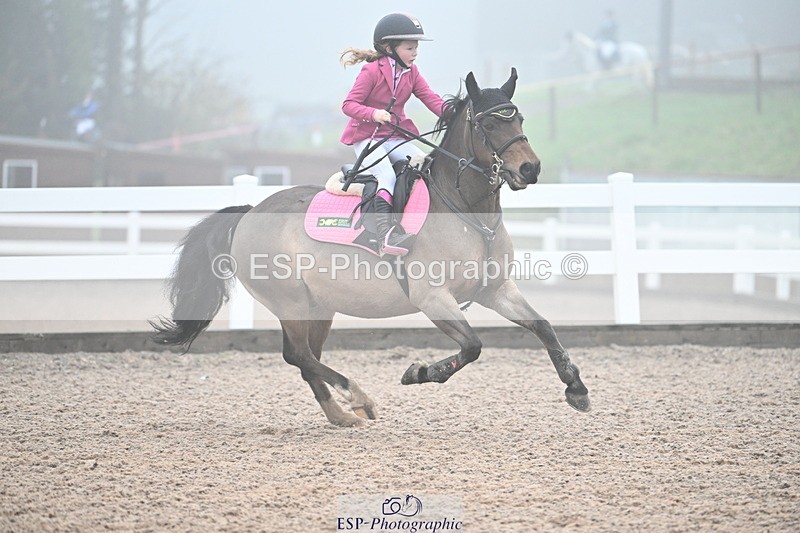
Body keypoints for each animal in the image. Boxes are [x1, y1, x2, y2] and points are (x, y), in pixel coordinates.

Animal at [151, 68, 591, 427]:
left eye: (518, 117)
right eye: (486, 123)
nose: (529, 169)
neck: (469, 212)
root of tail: (249, 212)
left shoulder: (496, 290)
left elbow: (543, 327)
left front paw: (576, 388)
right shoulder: (433, 298)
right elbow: (472, 346)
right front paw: (418, 373)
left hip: (319, 306)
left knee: (306, 358)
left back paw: (342, 414)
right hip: (290, 302)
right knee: (299, 355)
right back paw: (357, 397)